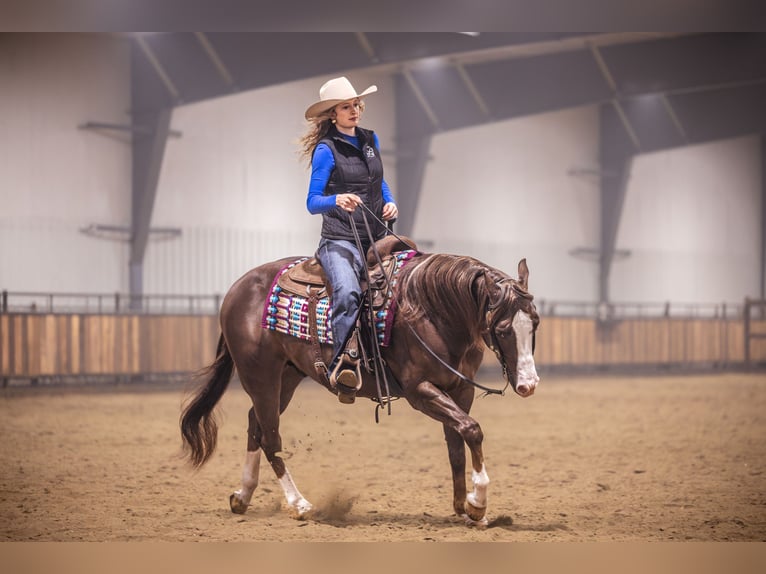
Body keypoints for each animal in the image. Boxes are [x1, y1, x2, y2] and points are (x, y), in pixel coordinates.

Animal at [180, 248, 540, 527]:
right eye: (503, 329)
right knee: (270, 437)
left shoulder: (459, 390)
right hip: (261, 376)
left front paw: (464, 509)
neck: (432, 310)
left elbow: (457, 445)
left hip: (287, 377)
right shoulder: (420, 390)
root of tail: (236, 289)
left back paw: (242, 495)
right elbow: (473, 430)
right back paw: (299, 504)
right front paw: (477, 503)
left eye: (534, 323)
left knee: (255, 424)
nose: (528, 384)